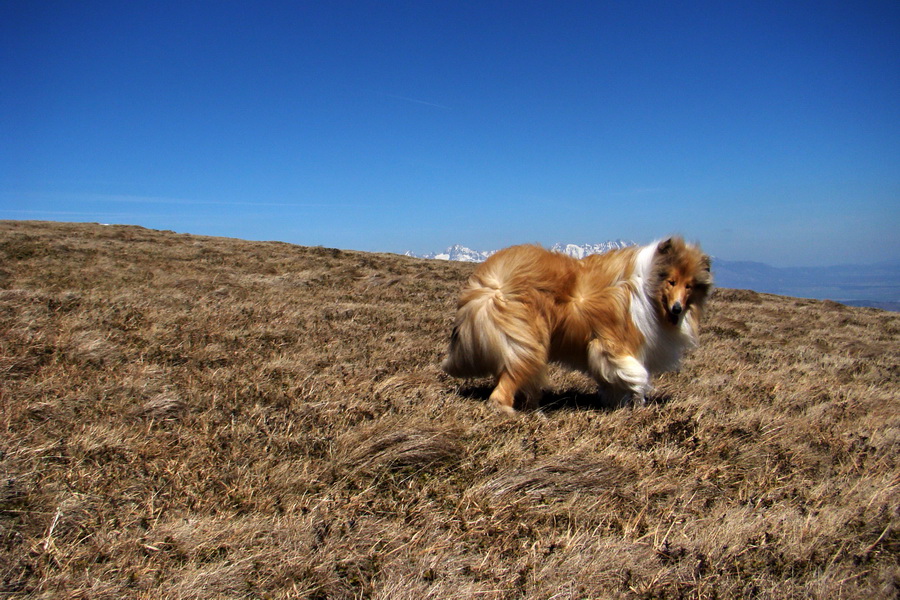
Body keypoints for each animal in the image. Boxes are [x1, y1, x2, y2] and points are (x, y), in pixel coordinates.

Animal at [442, 237, 712, 414]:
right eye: (672, 281)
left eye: (689, 286)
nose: (677, 309)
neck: (648, 290)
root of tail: (490, 283)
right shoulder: (613, 345)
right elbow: (634, 373)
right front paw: (637, 399)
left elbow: (611, 381)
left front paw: (616, 403)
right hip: (530, 342)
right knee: (503, 390)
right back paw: (515, 413)